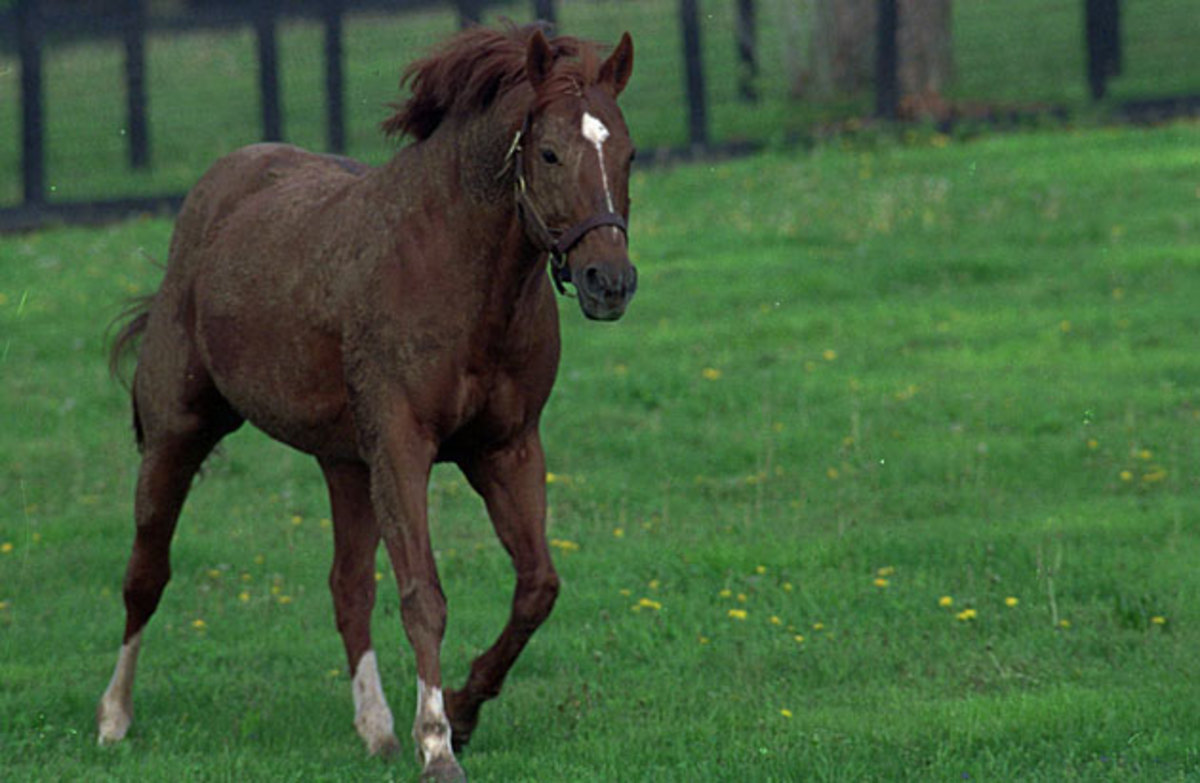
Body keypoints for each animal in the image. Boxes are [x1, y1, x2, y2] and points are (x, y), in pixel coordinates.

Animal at [96, 24, 638, 783]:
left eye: (628, 152)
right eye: (551, 152)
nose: (608, 281)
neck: (451, 267)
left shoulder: (507, 448)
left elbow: (537, 586)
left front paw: (461, 713)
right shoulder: (403, 447)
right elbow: (423, 594)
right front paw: (437, 744)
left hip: (345, 464)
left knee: (348, 586)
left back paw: (377, 729)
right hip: (178, 435)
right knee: (145, 573)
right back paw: (113, 718)